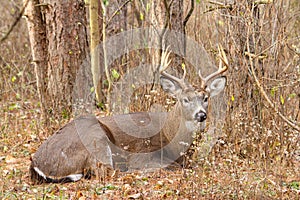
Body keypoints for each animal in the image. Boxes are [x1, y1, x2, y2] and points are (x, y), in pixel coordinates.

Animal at [29, 47, 227, 183]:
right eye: (185, 99)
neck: (172, 137)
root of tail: (36, 163)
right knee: (106, 172)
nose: (201, 115)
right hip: (95, 137)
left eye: (206, 98)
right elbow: (171, 165)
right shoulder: (144, 152)